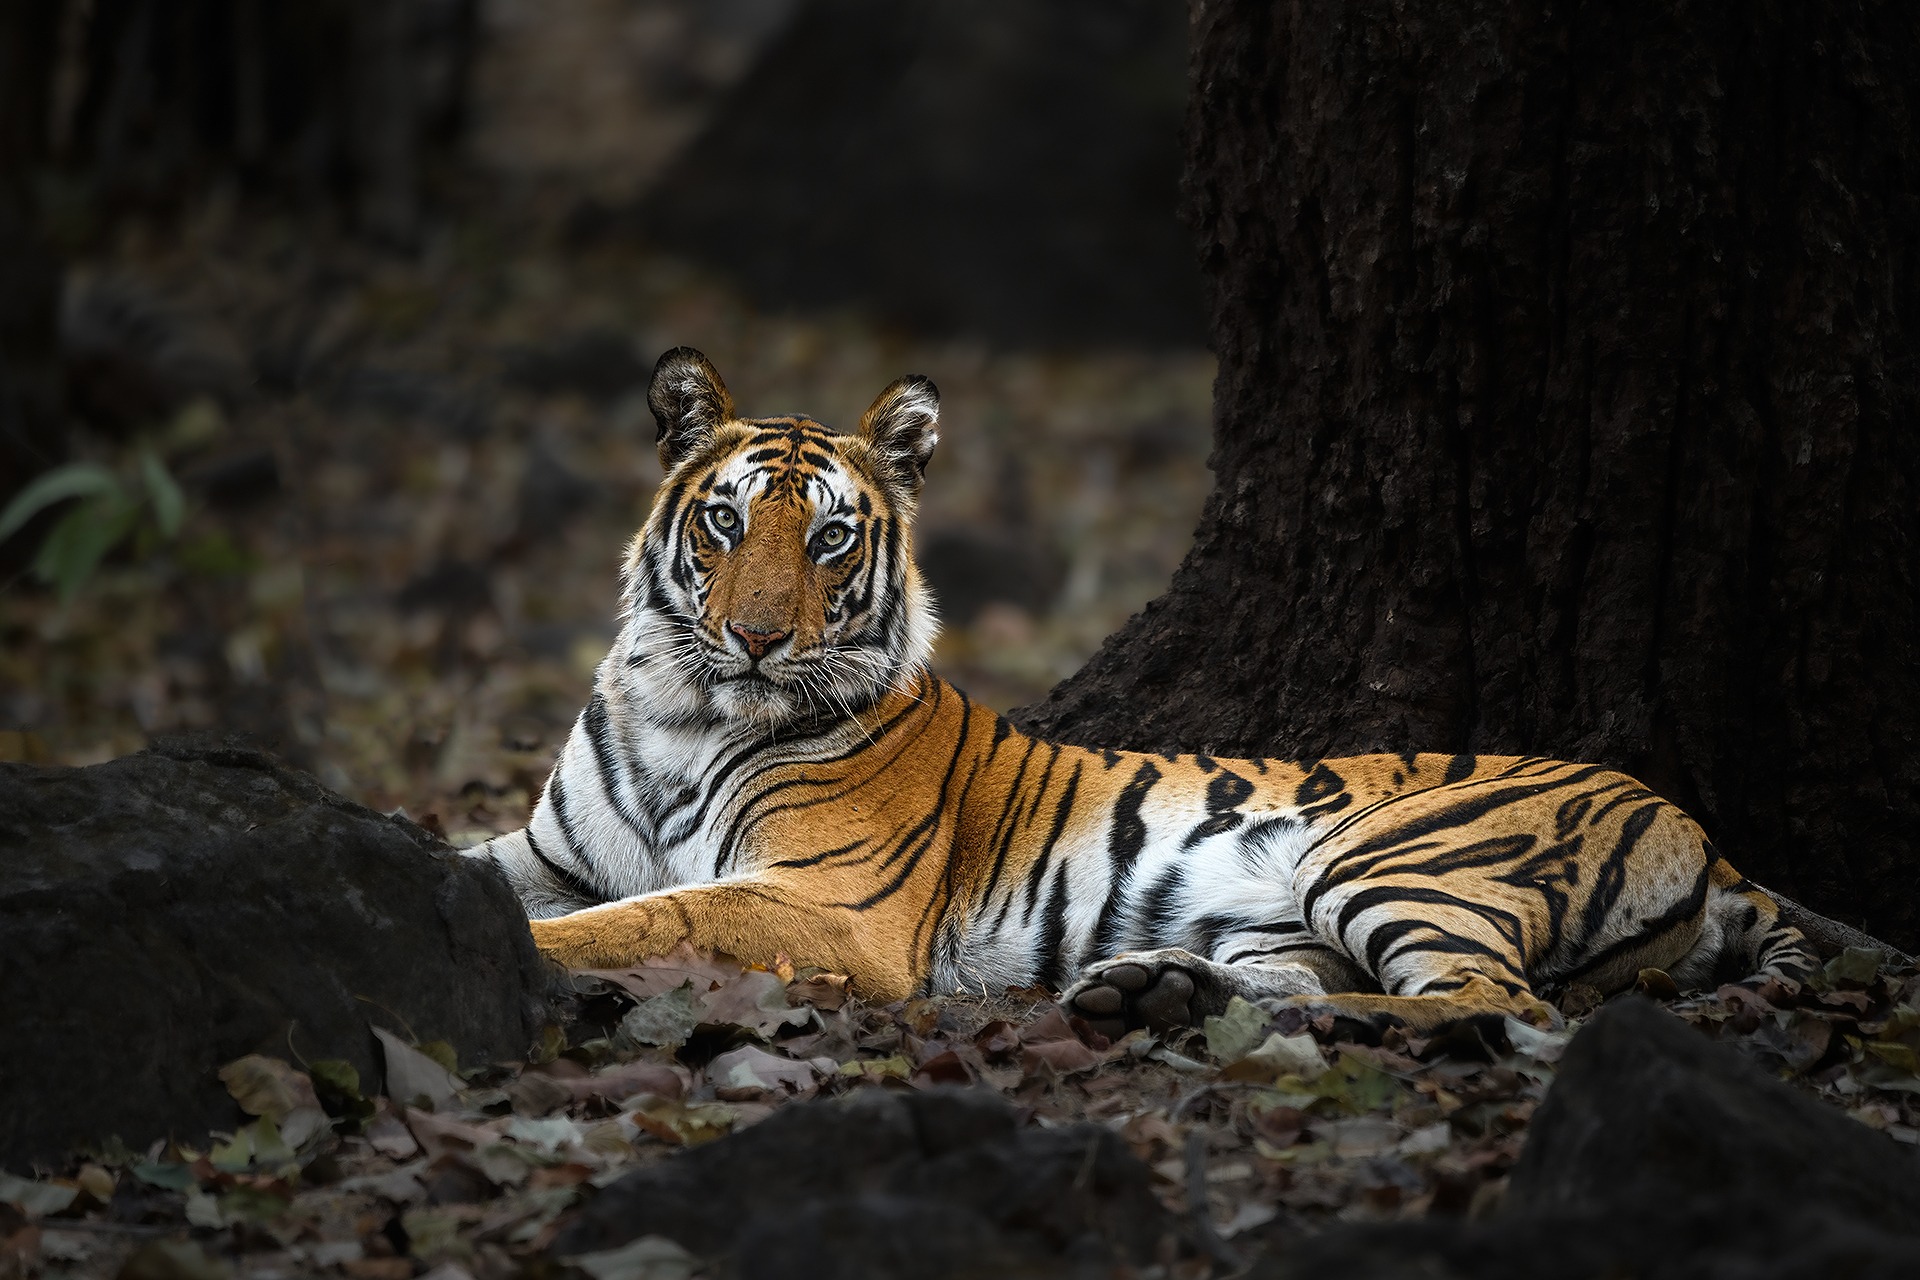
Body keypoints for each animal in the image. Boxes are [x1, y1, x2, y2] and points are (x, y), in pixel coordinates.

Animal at [470, 347, 1815, 1036]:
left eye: (832, 540)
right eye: (727, 521)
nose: (754, 637)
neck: (683, 710)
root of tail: (1706, 835)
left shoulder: (829, 902)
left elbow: (650, 916)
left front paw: (535, 950)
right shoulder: (558, 849)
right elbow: (487, 866)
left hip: (1394, 854)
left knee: (1493, 1001)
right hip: (1290, 914)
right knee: (1328, 977)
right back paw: (1152, 986)